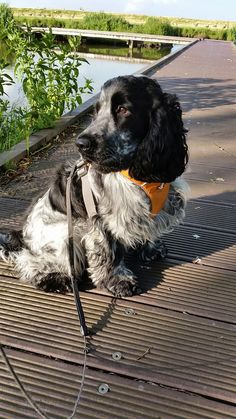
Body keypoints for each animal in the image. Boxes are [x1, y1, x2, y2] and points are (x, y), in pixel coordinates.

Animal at [0, 76, 189, 298]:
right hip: (63, 236)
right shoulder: (100, 219)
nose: (81, 144)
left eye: (123, 109)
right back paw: (54, 279)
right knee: (30, 261)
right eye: (97, 110)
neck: (134, 172)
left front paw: (152, 249)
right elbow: (109, 250)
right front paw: (119, 281)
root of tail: (23, 236)